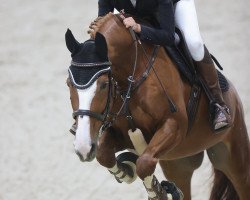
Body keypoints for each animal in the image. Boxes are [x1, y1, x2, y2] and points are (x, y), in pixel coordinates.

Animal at [66, 13, 250, 199]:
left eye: (104, 85)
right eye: (68, 83)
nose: (83, 148)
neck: (132, 75)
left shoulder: (174, 126)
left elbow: (144, 163)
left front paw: (157, 191)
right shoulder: (120, 133)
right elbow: (104, 155)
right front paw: (128, 171)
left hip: (234, 156)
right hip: (178, 164)